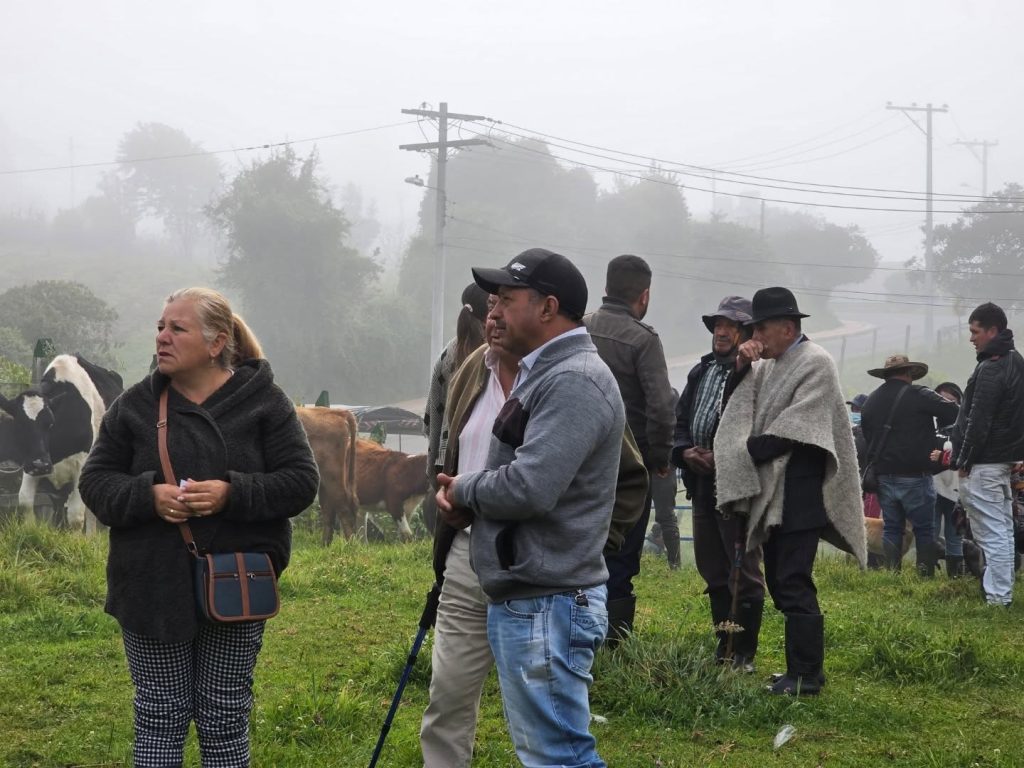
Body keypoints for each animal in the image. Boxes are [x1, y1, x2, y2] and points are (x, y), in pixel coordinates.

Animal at [0, 354, 122, 533]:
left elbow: (76, 517)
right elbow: (25, 502)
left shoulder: (81, 467)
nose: (40, 465)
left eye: (50, 423)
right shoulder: (31, 464)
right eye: (19, 424)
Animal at [296, 406, 359, 546]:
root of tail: (337, 412)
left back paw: (351, 545)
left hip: (332, 475)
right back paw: (325, 545)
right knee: (329, 509)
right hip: (325, 480)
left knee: (343, 506)